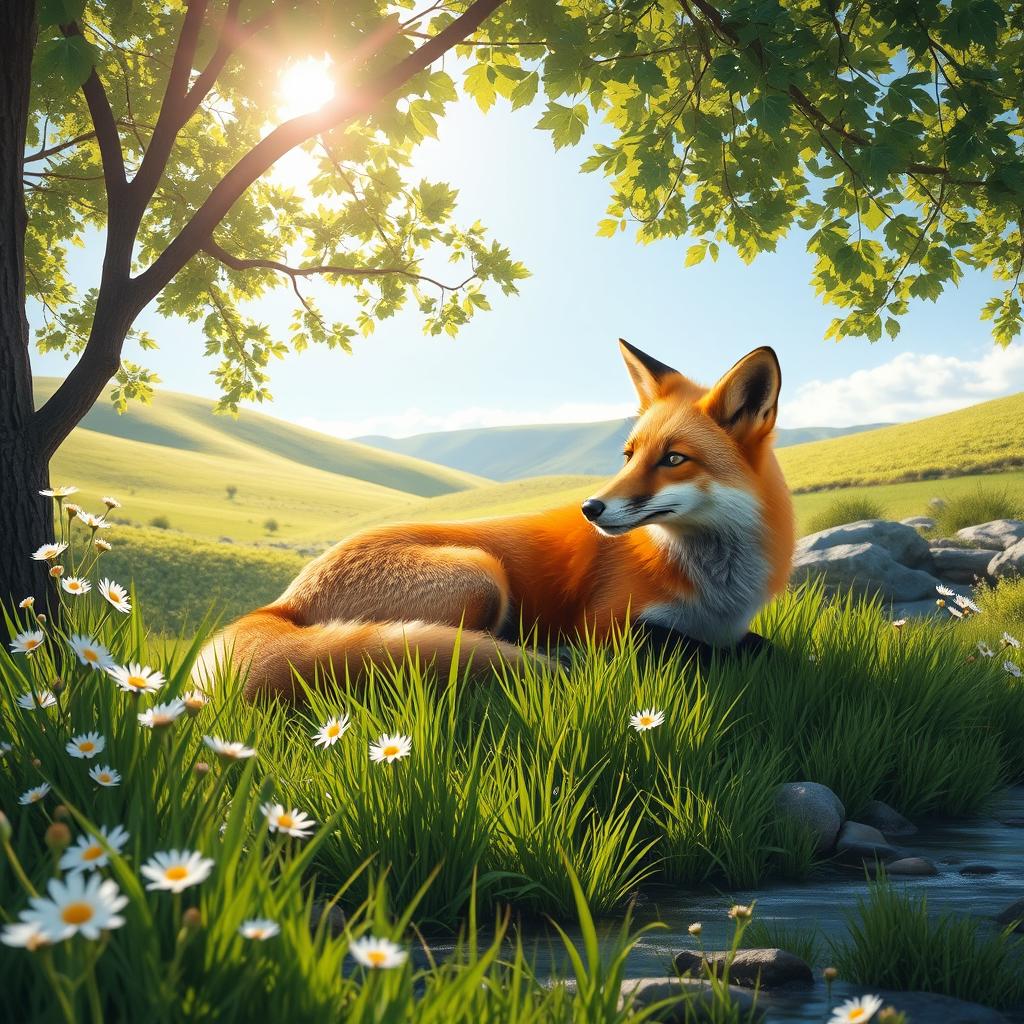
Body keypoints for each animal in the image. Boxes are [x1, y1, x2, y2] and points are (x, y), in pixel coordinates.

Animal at [193, 341, 795, 699]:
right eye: (628, 456)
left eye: (672, 459)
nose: (591, 508)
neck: (716, 588)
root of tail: (282, 601)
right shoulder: (607, 625)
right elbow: (706, 649)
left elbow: (760, 646)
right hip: (483, 576)